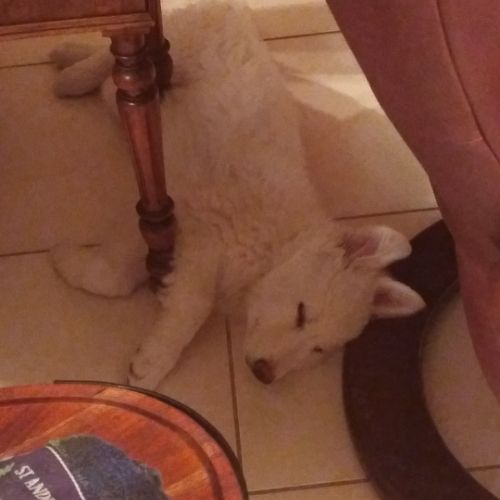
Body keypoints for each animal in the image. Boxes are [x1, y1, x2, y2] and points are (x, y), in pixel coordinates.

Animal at [50, 0, 425, 389]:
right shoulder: (187, 225)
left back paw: (70, 55)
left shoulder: (180, 239)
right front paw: (66, 261)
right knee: (111, 58)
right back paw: (72, 75)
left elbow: (155, 286)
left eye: (318, 349)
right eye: (302, 314)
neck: (272, 249)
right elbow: (169, 296)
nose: (264, 374)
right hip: (169, 42)